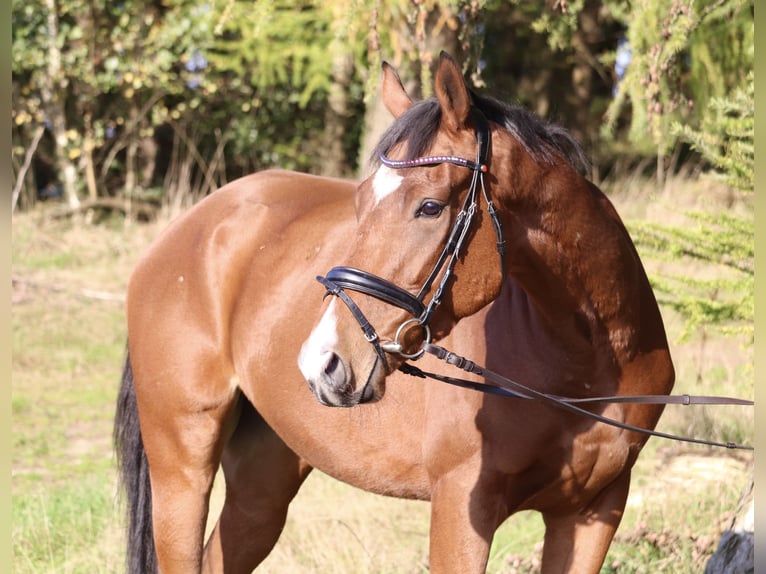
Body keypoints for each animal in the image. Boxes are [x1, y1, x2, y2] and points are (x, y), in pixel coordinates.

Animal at [115, 51, 680, 572]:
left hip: (264, 477)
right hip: (182, 466)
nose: (322, 362)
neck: (582, 364)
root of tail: (192, 225)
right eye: (361, 203)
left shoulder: (592, 511)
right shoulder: (462, 507)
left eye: (429, 207)